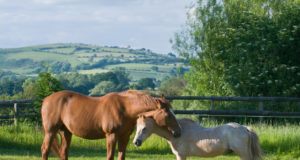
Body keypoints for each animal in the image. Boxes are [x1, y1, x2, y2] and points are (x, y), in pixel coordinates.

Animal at [39, 90, 180, 160]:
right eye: (168, 115)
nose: (178, 132)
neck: (125, 108)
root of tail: (46, 100)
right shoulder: (111, 136)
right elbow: (110, 156)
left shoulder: (124, 137)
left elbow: (121, 156)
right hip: (50, 131)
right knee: (45, 150)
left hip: (66, 132)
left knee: (64, 152)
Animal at [134, 115, 262, 160]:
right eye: (137, 127)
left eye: (144, 128)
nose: (136, 142)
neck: (178, 132)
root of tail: (245, 128)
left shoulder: (181, 155)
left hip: (243, 154)